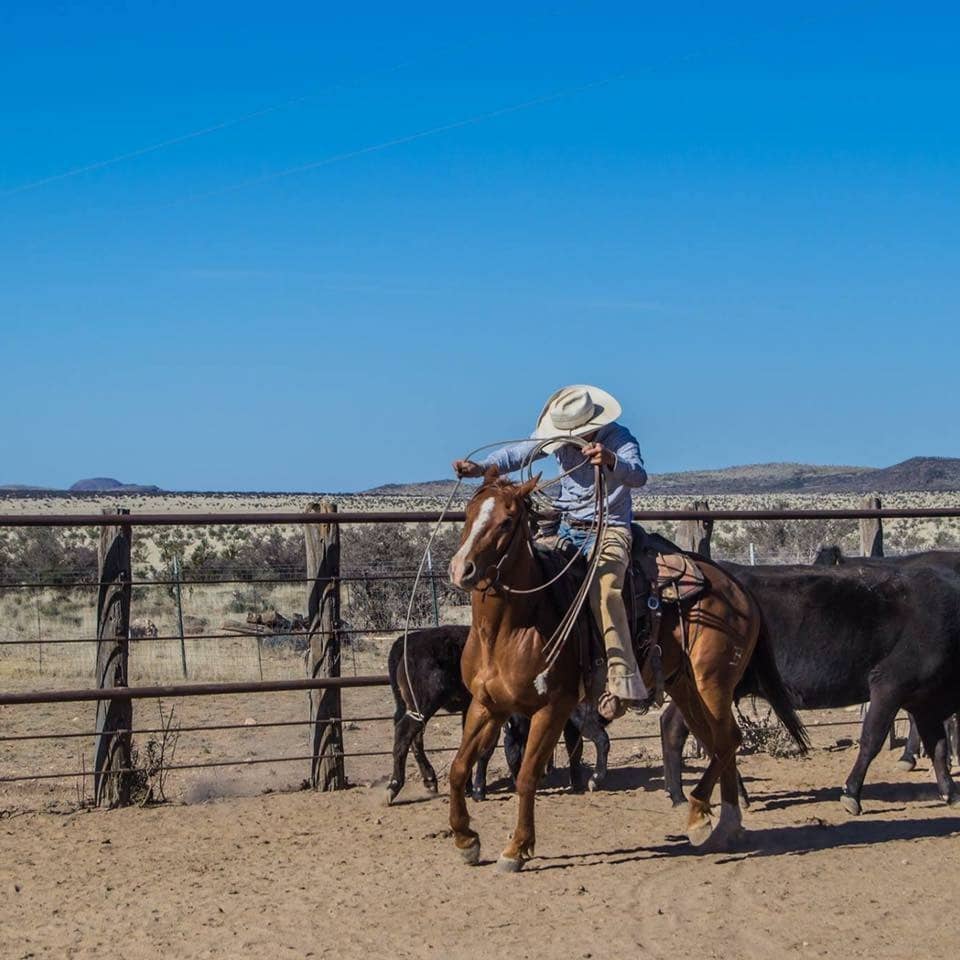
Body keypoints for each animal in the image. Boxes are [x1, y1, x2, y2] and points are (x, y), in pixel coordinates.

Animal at [446, 468, 807, 870]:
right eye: (468, 513)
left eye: (507, 521)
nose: (461, 569)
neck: (509, 630)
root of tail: (737, 587)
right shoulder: (487, 705)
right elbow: (459, 767)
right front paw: (465, 839)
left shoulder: (553, 707)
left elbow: (526, 775)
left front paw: (516, 848)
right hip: (685, 686)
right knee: (718, 742)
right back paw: (723, 822)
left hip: (712, 682)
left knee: (727, 739)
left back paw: (703, 813)